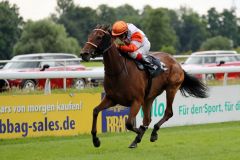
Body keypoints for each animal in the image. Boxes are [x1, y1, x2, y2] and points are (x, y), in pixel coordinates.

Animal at [80, 24, 208, 148]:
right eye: (89, 35)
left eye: (99, 37)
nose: (83, 54)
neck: (119, 72)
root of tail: (177, 63)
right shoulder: (111, 99)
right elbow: (95, 111)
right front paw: (96, 140)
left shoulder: (136, 101)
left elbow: (129, 124)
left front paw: (139, 132)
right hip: (149, 97)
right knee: (147, 119)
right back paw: (138, 138)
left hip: (171, 88)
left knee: (168, 113)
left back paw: (153, 133)